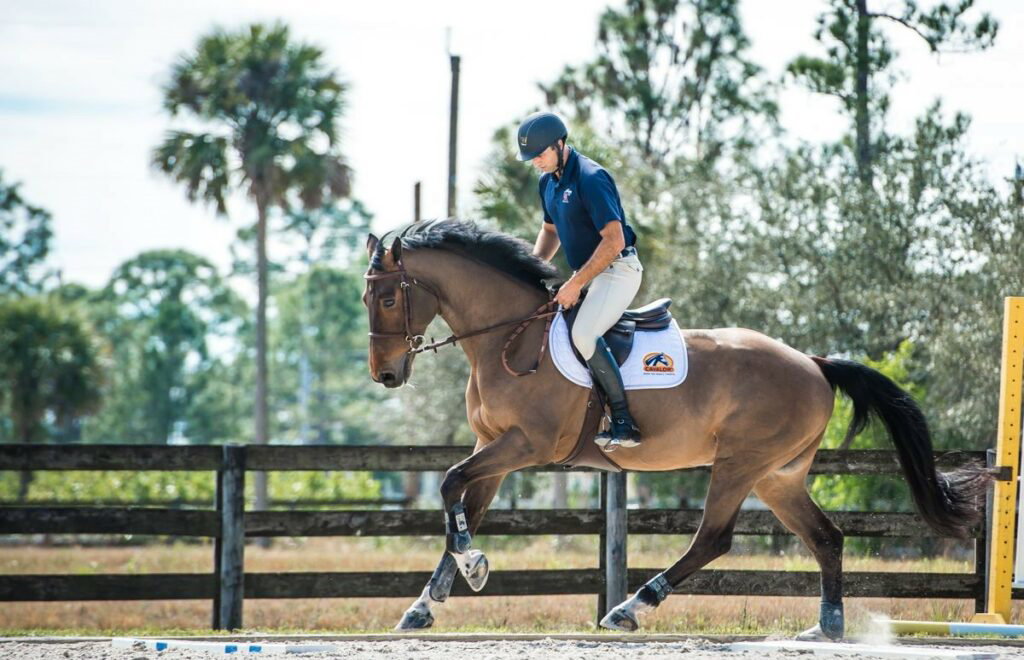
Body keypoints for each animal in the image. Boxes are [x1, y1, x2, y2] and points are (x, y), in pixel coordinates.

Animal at [362, 220, 988, 640]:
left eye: (388, 297)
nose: (386, 375)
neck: (510, 337)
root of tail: (813, 362)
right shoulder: (492, 446)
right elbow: (460, 507)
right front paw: (428, 602)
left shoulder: (525, 445)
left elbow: (449, 484)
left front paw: (473, 566)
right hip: (778, 476)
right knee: (827, 537)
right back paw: (826, 627)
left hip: (739, 464)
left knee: (713, 539)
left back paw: (630, 608)